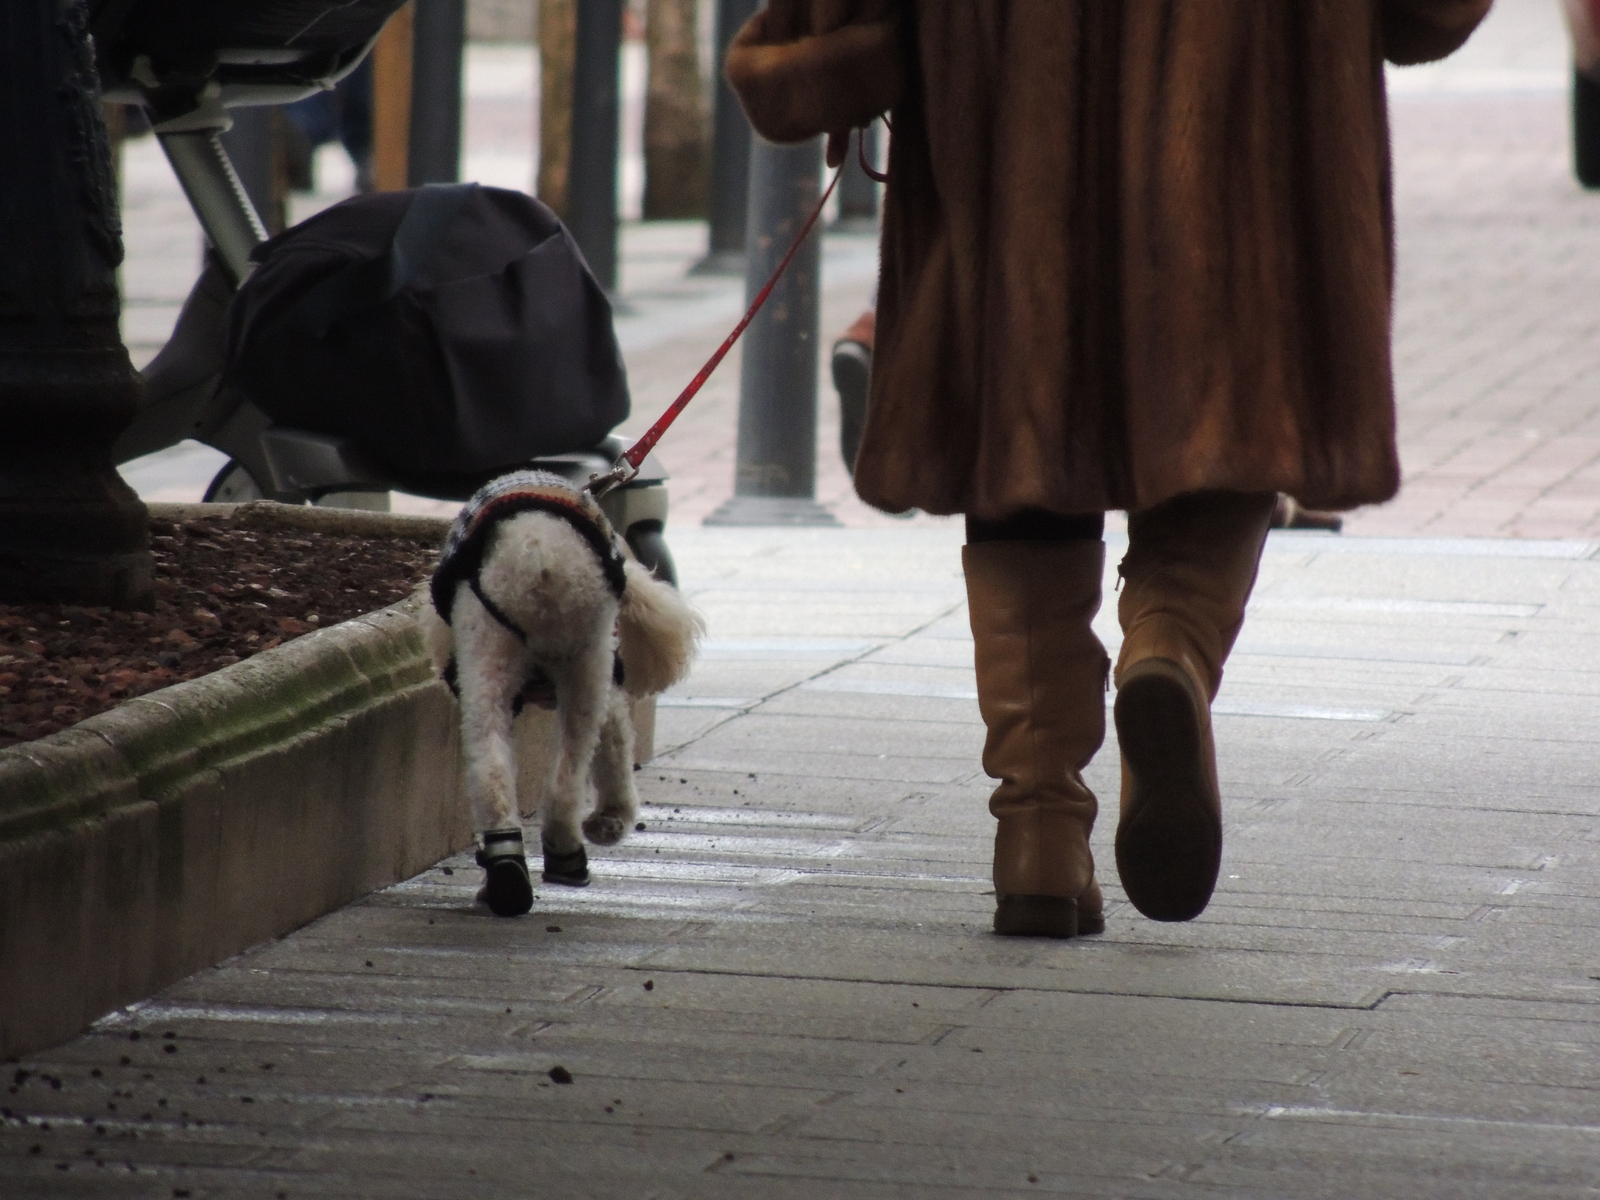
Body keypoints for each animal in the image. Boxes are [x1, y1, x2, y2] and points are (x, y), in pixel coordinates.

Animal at [422, 473, 704, 921]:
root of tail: (538, 550)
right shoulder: (609, 685)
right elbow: (615, 748)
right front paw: (613, 818)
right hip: (587, 659)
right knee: (568, 774)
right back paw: (566, 853)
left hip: (486, 651)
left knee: (491, 770)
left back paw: (505, 874)